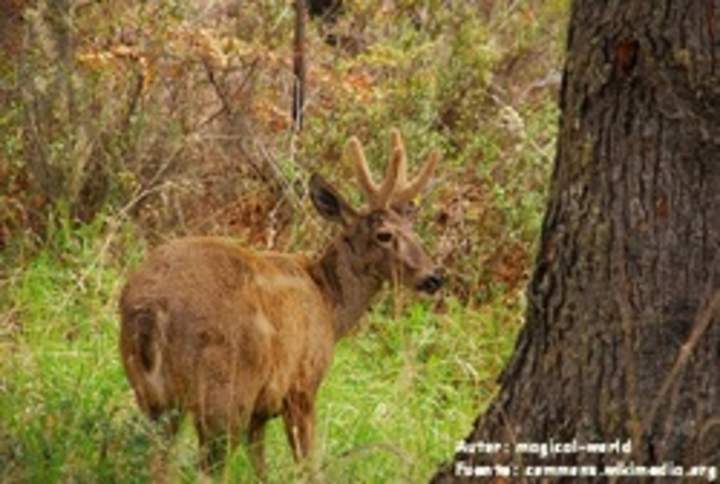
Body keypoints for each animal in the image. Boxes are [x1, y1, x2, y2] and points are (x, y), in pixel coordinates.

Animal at [118, 129, 442, 480]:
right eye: (384, 234)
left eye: (413, 230)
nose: (433, 277)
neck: (328, 304)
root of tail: (150, 310)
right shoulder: (301, 386)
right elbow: (308, 465)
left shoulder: (260, 411)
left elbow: (261, 468)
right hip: (223, 392)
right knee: (209, 468)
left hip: (151, 396)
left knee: (159, 463)